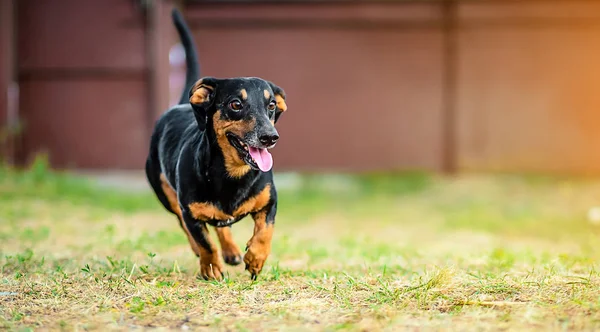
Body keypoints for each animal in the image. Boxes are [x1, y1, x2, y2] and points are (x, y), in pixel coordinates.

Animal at [144, 9, 288, 280]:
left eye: (272, 105)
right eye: (235, 104)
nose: (270, 137)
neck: (233, 174)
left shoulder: (270, 202)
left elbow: (266, 231)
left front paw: (255, 259)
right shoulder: (189, 210)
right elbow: (205, 242)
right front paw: (211, 269)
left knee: (222, 226)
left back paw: (231, 251)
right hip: (166, 195)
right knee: (186, 225)